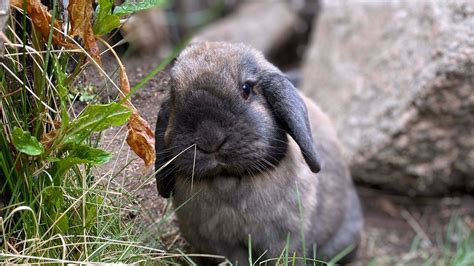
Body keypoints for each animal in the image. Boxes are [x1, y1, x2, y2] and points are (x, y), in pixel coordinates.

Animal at [156, 41, 362, 264]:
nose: (209, 138)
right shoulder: (220, 245)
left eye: (246, 89)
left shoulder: (281, 240)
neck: (228, 180)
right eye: (174, 98)